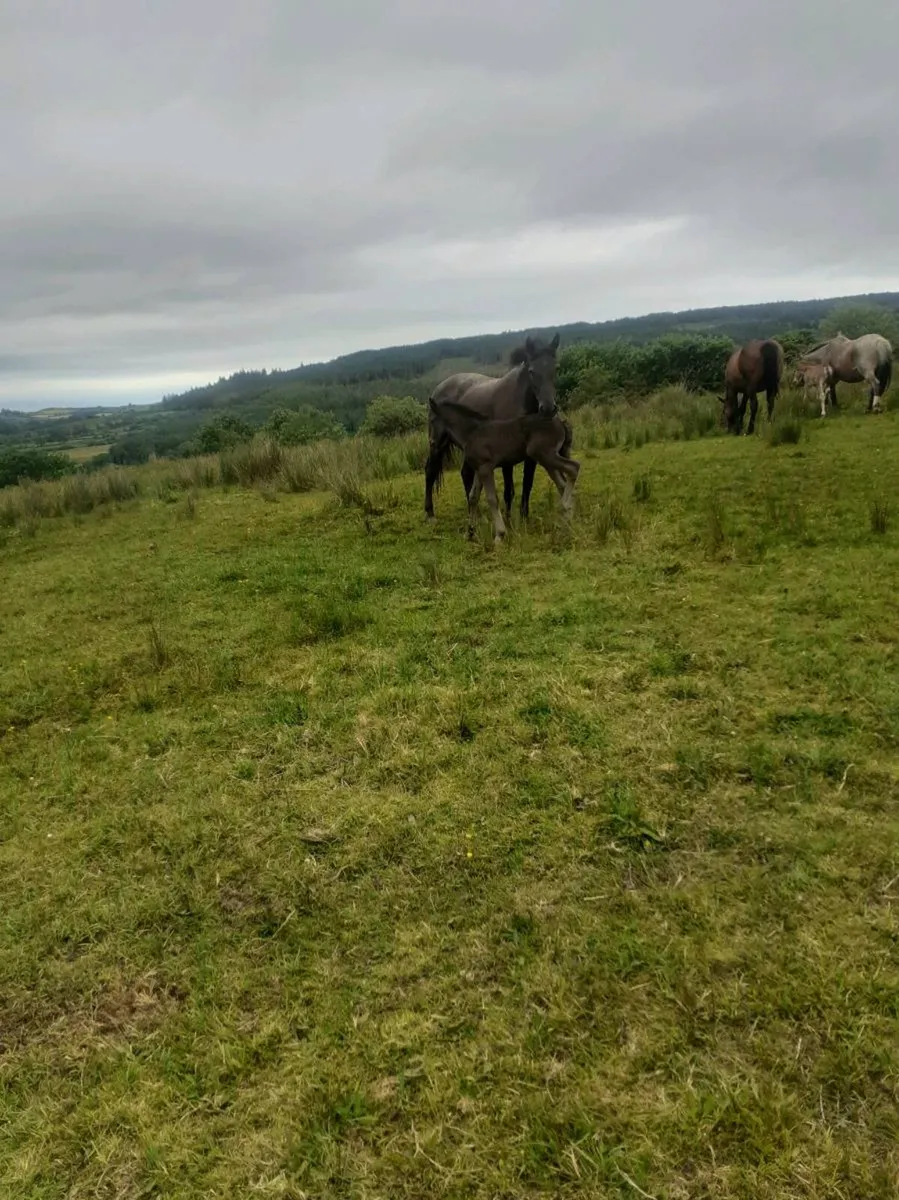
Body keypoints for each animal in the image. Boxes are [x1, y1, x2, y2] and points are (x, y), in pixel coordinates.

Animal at [424, 333, 560, 523]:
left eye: (555, 369)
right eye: (532, 372)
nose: (548, 408)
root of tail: (438, 389)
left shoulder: (531, 456)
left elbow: (527, 484)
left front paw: (524, 518)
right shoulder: (505, 456)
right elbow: (508, 490)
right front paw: (509, 520)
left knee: (465, 473)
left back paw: (477, 514)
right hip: (437, 443)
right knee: (430, 471)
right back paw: (430, 514)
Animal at [428, 397, 579, 544]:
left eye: (432, 421)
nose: (432, 442)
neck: (472, 432)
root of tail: (561, 422)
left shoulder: (486, 468)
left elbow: (492, 499)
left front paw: (499, 535)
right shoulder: (479, 470)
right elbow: (473, 497)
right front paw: (470, 533)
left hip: (546, 456)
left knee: (574, 468)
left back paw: (565, 507)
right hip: (547, 460)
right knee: (563, 483)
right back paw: (567, 518)